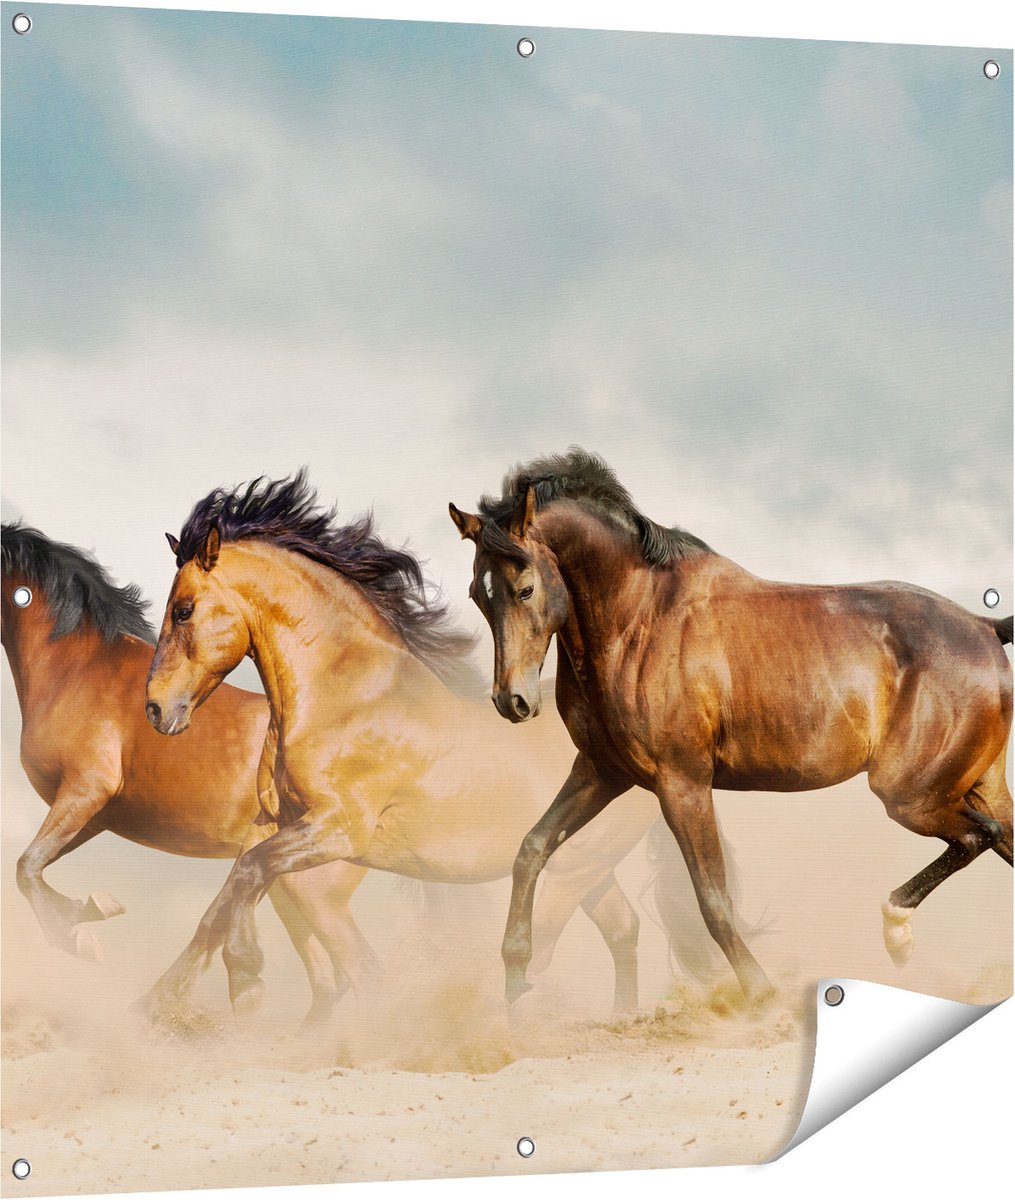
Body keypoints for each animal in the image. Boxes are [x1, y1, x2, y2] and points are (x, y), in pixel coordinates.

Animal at [1, 522, 376, 1024]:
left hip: (309, 891)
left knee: (357, 971)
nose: (160, 712)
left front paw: (82, 934)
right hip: (285, 889)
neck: (74, 668)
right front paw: (86, 914)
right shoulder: (95, 816)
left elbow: (26, 867)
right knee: (325, 980)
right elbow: (34, 867)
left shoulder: (84, 792)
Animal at [140, 471, 714, 1019]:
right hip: (585, 869)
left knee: (548, 947)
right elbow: (226, 897)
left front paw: (246, 980)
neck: (346, 695)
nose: (155, 709)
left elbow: (253, 876)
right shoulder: (274, 822)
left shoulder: (338, 828)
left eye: (184, 610)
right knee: (621, 927)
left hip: (575, 872)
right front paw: (179, 997)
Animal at [449, 447, 1013, 1002]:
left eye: (524, 589)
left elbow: (713, 900)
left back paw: (897, 935)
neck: (638, 621)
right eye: (478, 594)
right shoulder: (602, 771)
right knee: (998, 836)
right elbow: (531, 848)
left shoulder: (682, 783)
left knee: (976, 837)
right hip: (975, 785)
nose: (512, 701)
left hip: (908, 794)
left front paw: (761, 995)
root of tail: (985, 627)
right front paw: (516, 980)